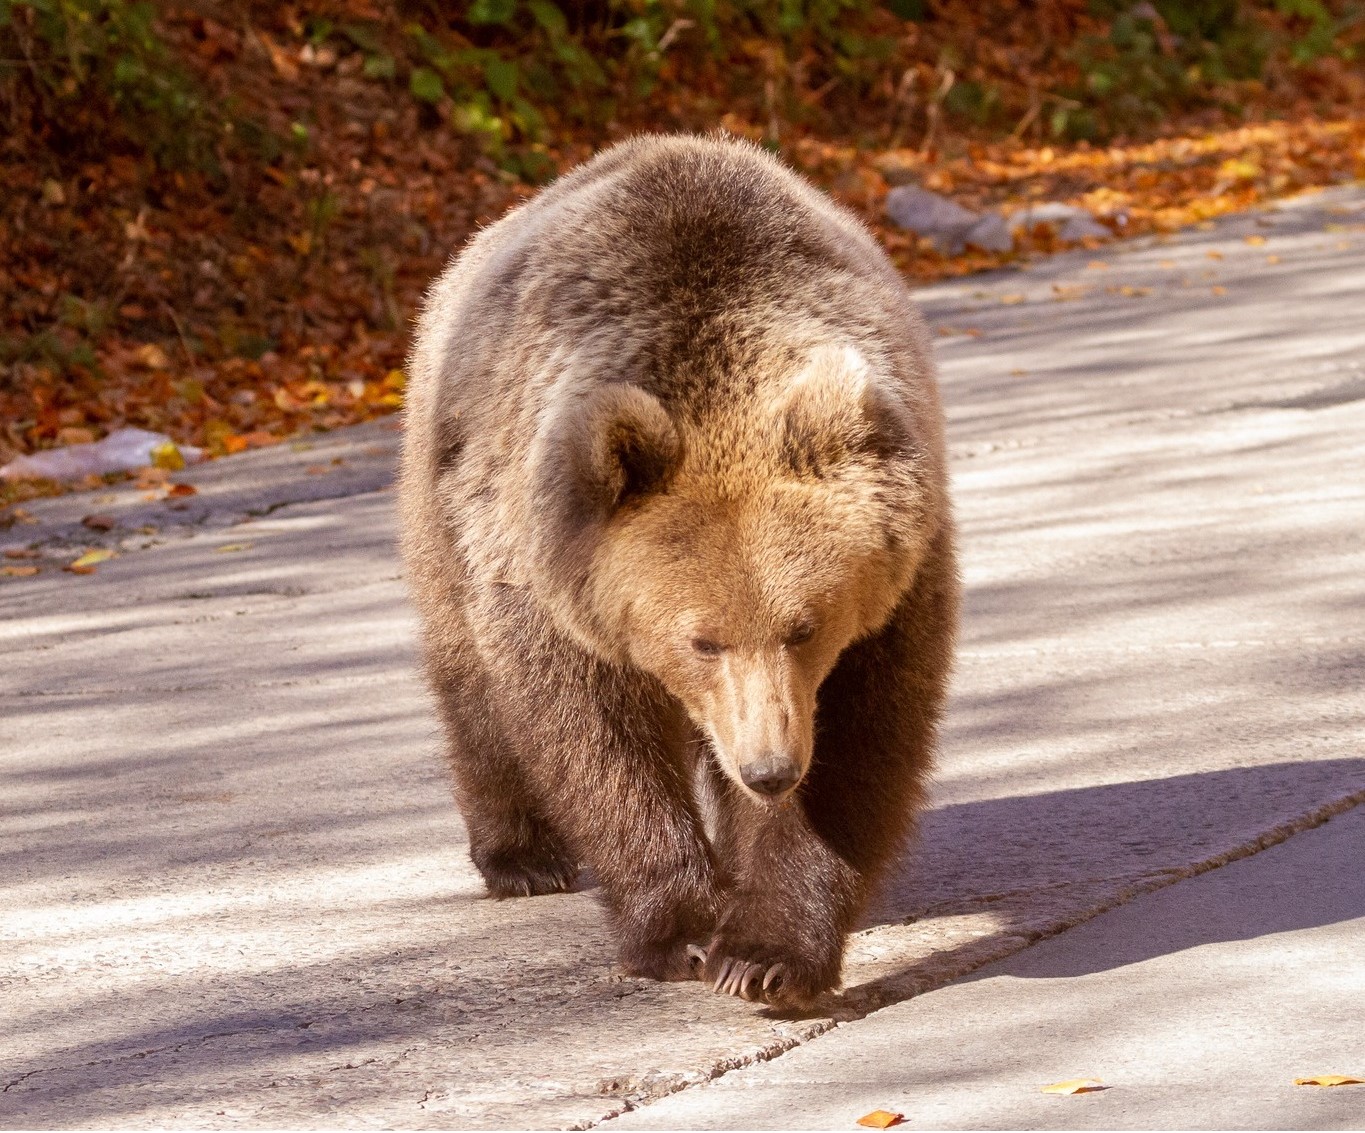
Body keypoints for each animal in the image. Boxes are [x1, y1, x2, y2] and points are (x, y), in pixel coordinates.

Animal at [398, 133, 960, 1010]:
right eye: (702, 639)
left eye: (805, 626)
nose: (769, 767)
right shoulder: (553, 576)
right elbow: (594, 740)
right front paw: (684, 931)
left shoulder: (894, 582)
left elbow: (860, 736)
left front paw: (765, 952)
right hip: (446, 500)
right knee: (471, 682)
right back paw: (521, 855)